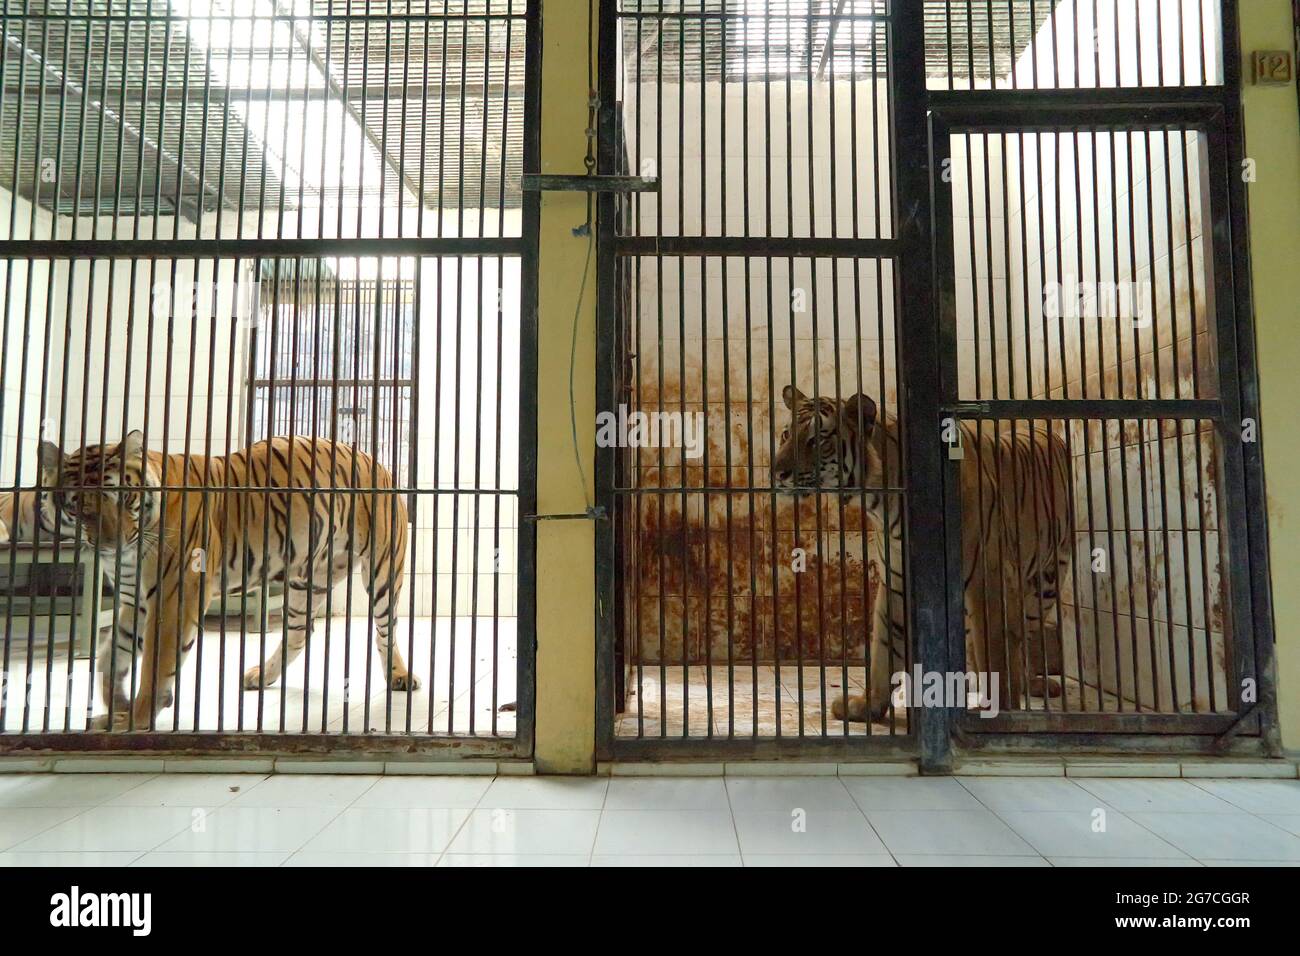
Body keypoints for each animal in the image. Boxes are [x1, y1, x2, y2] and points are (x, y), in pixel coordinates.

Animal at [769, 385, 1066, 723]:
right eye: (786, 434)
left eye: (816, 439)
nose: (778, 473)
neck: (879, 501)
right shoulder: (897, 577)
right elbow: (886, 642)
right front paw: (868, 706)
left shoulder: (987, 578)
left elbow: (995, 655)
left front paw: (999, 711)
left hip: (1045, 582)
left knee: (1024, 636)